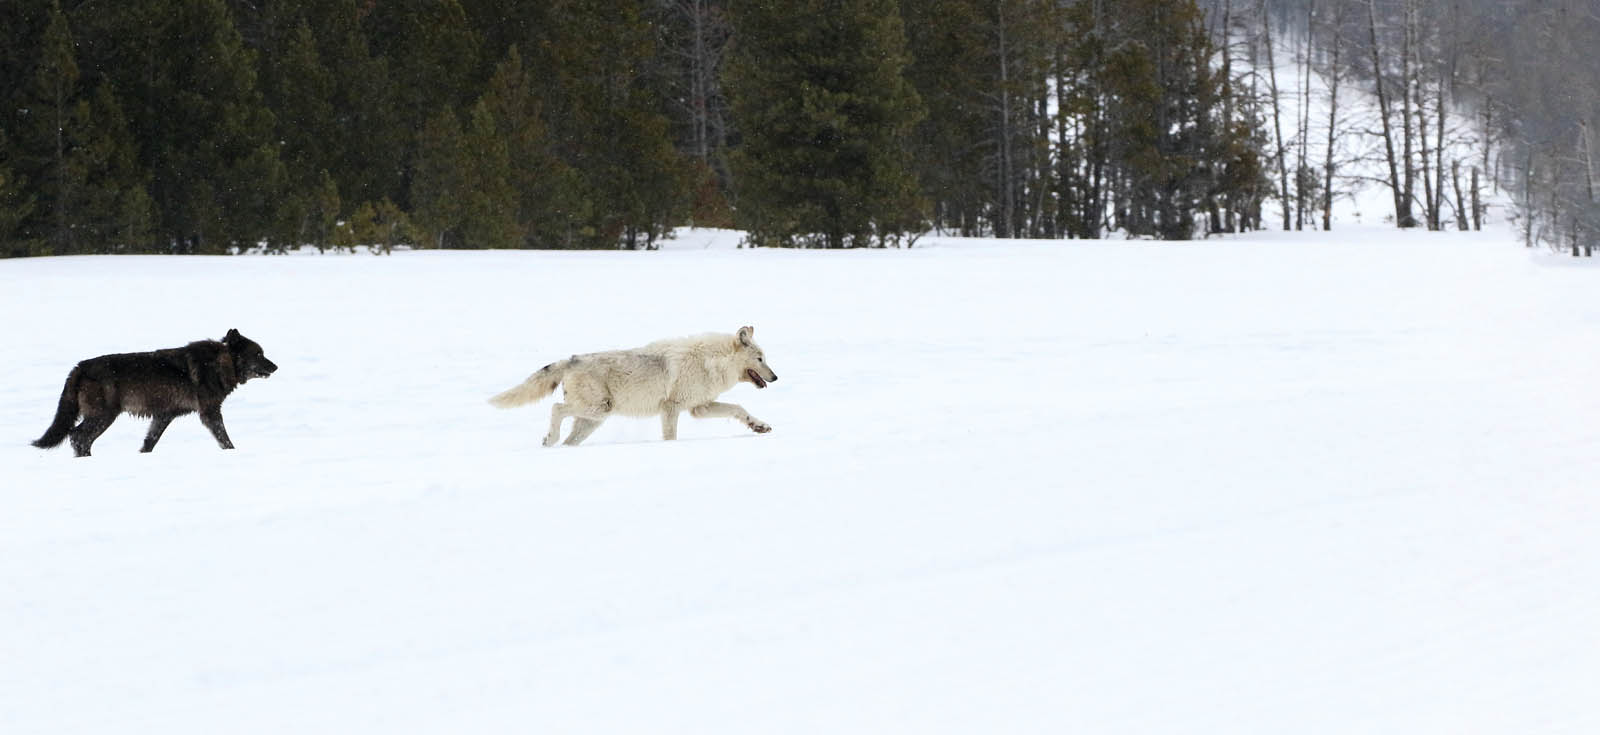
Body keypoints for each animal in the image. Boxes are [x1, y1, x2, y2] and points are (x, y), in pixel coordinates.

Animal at [31, 331, 278, 457]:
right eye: (258, 354)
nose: (276, 367)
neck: (219, 364)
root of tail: (79, 367)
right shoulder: (210, 413)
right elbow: (224, 438)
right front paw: (234, 453)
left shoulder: (163, 415)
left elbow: (150, 441)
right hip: (103, 417)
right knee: (78, 436)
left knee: (79, 437)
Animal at [492, 325, 780, 445]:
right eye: (760, 359)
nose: (776, 377)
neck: (711, 361)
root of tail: (571, 360)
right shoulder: (671, 408)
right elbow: (670, 437)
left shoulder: (699, 408)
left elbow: (738, 408)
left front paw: (759, 426)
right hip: (600, 409)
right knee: (555, 408)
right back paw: (549, 439)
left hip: (593, 419)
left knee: (568, 439)